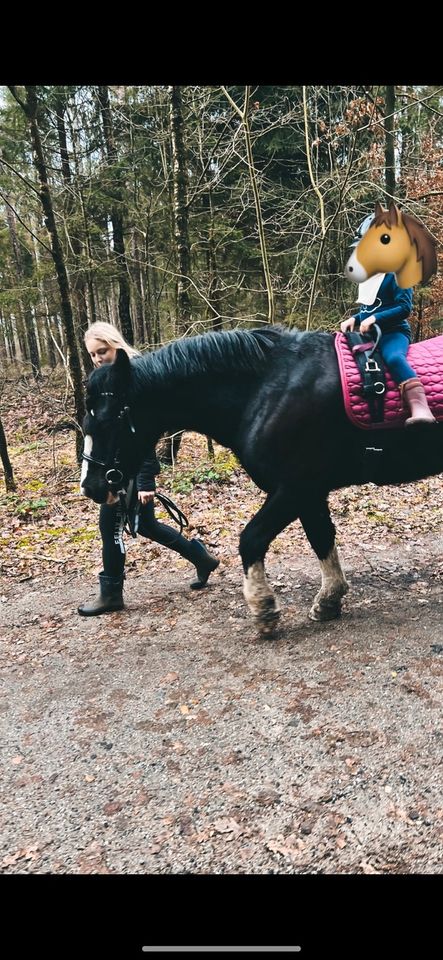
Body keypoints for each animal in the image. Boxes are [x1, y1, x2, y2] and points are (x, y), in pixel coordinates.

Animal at [80, 326, 443, 632]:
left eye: (109, 420)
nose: (91, 486)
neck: (267, 391)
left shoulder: (294, 489)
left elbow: (251, 539)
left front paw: (264, 609)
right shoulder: (309, 492)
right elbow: (321, 538)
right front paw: (328, 601)